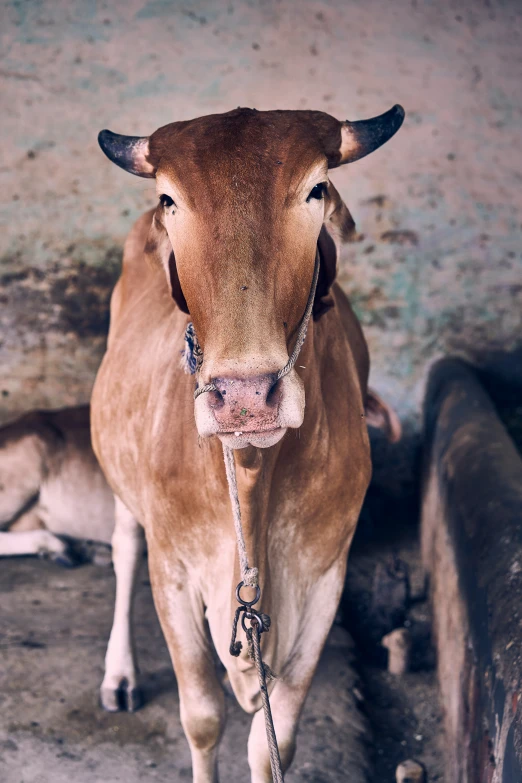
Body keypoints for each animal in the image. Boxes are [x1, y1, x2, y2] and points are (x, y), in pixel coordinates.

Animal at [91, 105, 404, 783]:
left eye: (316, 190)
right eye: (170, 199)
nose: (244, 395)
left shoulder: (324, 578)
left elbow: (273, 742)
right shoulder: (174, 571)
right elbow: (203, 718)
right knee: (124, 549)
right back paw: (119, 674)